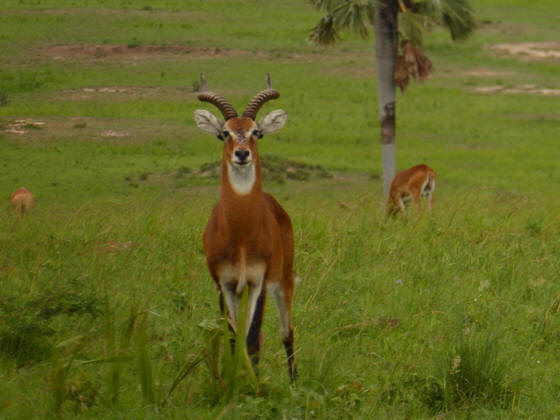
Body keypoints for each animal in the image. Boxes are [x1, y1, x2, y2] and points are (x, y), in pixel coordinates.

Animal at [192, 74, 298, 382]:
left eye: (256, 132)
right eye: (224, 133)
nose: (242, 154)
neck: (240, 236)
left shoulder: (257, 282)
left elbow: (251, 340)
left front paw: (255, 385)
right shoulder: (223, 284)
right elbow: (232, 337)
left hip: (283, 281)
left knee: (286, 333)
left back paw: (294, 382)